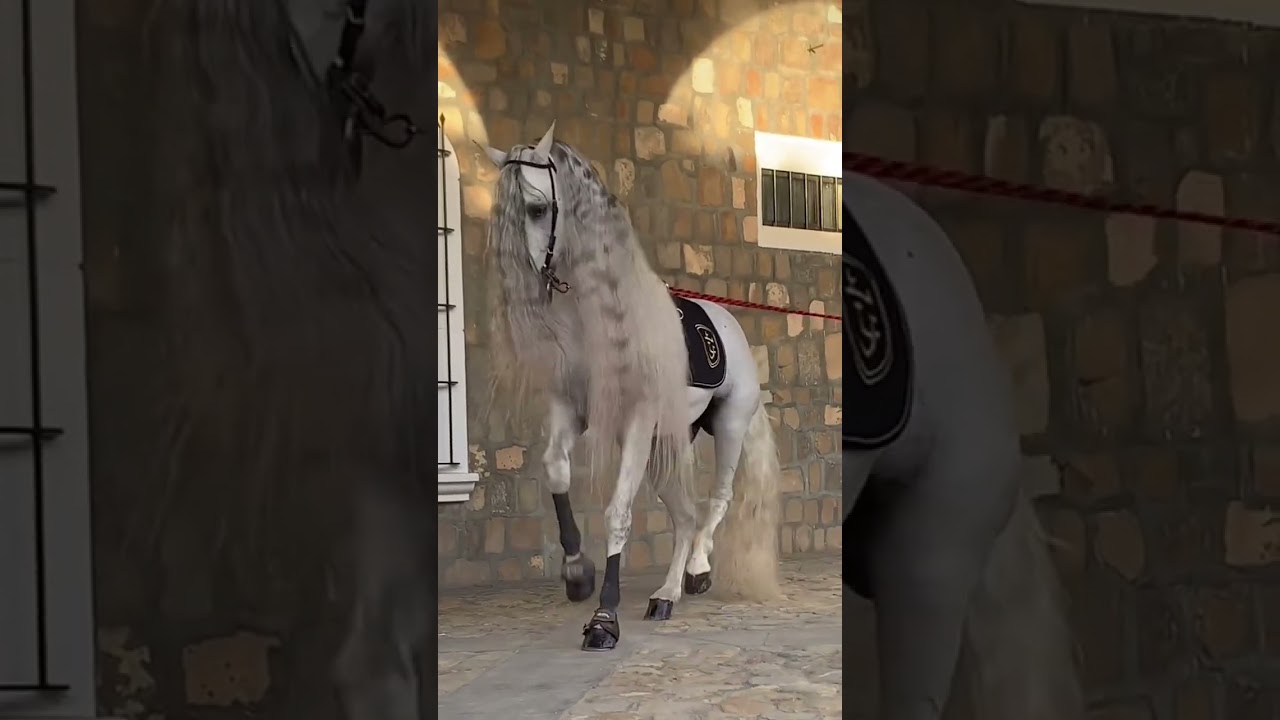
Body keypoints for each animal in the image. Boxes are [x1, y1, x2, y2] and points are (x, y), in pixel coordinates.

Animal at [481, 121, 784, 652]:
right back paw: (666, 594)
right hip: (666, 445)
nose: (528, 279)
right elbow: (556, 470)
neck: (594, 321)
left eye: (536, 208)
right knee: (685, 517)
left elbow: (618, 512)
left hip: (727, 426)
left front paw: (604, 619)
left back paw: (698, 569)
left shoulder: (637, 421)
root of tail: (728, 326)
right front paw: (577, 574)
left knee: (717, 501)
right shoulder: (571, 410)